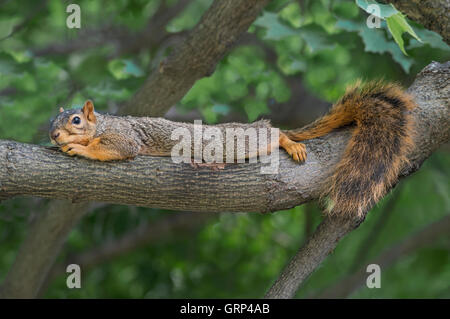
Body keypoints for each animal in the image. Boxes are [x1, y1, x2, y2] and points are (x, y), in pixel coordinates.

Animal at [48, 82, 414, 218]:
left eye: (76, 119)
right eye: (51, 118)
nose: (53, 134)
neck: (103, 124)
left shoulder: (125, 137)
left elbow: (111, 148)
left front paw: (78, 146)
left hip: (247, 140)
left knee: (275, 133)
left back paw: (290, 142)